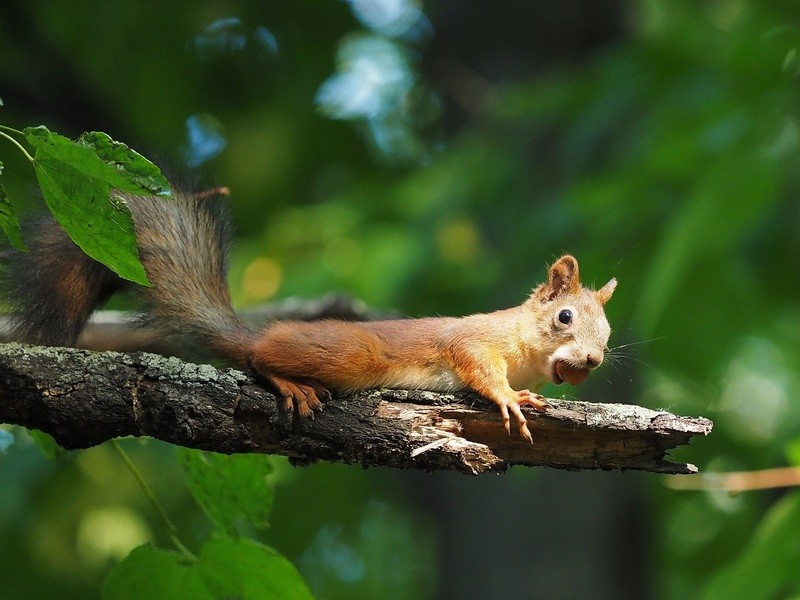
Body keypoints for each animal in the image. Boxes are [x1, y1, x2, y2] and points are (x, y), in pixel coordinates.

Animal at [6, 185, 616, 442]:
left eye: (607, 334)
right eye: (564, 317)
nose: (592, 360)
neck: (521, 343)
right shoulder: (473, 339)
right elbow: (476, 366)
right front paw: (511, 397)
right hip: (349, 354)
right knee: (260, 359)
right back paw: (287, 381)